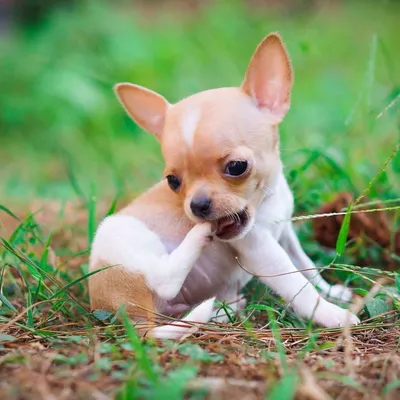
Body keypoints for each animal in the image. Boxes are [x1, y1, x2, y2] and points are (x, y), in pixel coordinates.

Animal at [89, 32, 360, 338]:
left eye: (237, 167)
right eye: (173, 181)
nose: (197, 206)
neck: (267, 203)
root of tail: (126, 317)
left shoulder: (286, 234)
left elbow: (307, 266)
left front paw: (332, 291)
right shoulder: (262, 251)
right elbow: (298, 286)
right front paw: (331, 313)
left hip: (176, 307)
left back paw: (225, 309)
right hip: (120, 233)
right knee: (163, 280)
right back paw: (198, 236)